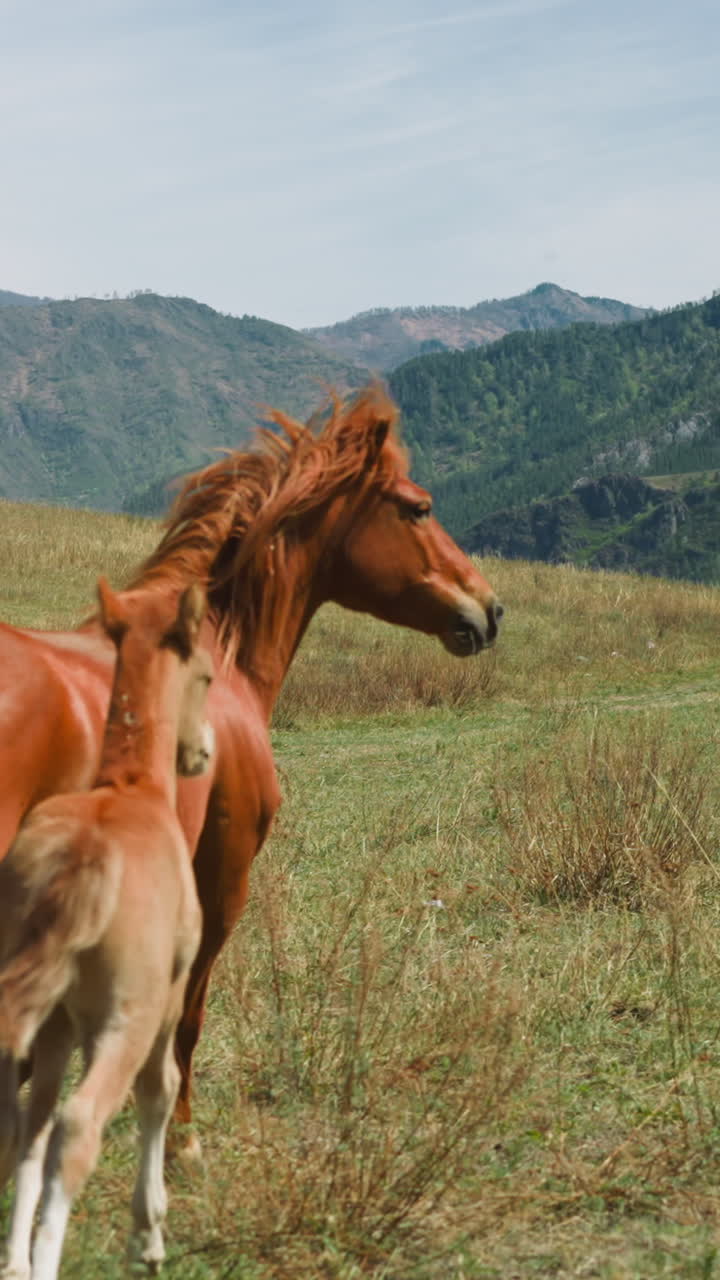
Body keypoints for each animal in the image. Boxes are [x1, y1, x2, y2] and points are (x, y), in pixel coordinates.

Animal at [0, 385, 502, 1153]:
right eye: (418, 507)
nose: (490, 608)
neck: (218, 653)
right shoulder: (223, 875)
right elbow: (187, 1015)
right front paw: (181, 1136)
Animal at [0, 579, 213, 1280]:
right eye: (208, 674)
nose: (203, 751)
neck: (131, 787)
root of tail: (82, 864)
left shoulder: (57, 1025)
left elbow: (31, 1126)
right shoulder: (168, 996)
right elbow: (159, 1089)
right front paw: (149, 1232)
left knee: (19, 1121)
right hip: (127, 1020)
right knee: (80, 1126)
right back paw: (47, 1259)